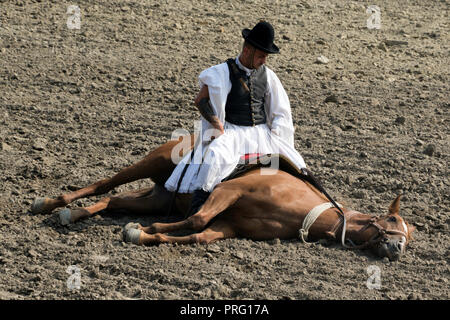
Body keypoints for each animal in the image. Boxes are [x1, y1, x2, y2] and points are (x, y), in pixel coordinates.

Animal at [31, 134, 416, 260]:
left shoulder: (231, 225)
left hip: (158, 196)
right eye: (393, 219)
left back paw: (73, 215)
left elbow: (199, 236)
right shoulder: (231, 191)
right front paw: (144, 230)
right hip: (151, 161)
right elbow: (198, 218)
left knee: (113, 201)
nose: (397, 248)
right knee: (104, 184)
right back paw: (50, 204)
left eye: (409, 236)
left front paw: (142, 233)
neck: (302, 208)